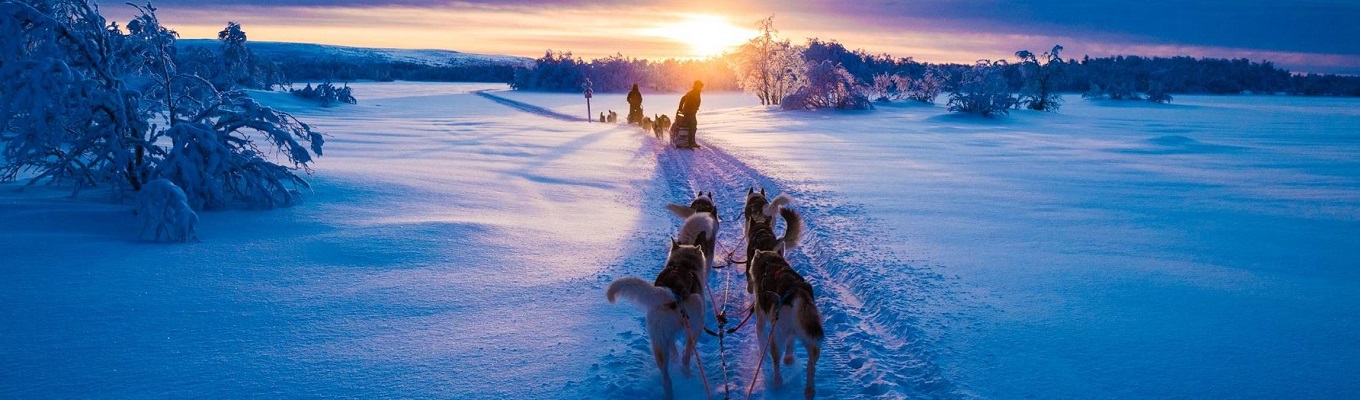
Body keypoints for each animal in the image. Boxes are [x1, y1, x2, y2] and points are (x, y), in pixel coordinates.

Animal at [609, 239, 712, 397]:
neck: (683, 264)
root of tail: (669, 292)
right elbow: (685, 350)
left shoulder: (669, 336)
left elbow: (674, 348)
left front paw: (675, 359)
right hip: (697, 311)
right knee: (687, 352)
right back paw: (687, 373)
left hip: (659, 343)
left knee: (666, 377)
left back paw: (670, 392)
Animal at [750, 243, 821, 400]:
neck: (771, 263)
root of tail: (798, 293)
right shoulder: (792, 333)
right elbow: (790, 343)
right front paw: (788, 358)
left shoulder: (761, 320)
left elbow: (761, 338)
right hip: (810, 338)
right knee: (811, 364)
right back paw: (809, 389)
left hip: (776, 336)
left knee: (776, 361)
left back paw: (777, 381)